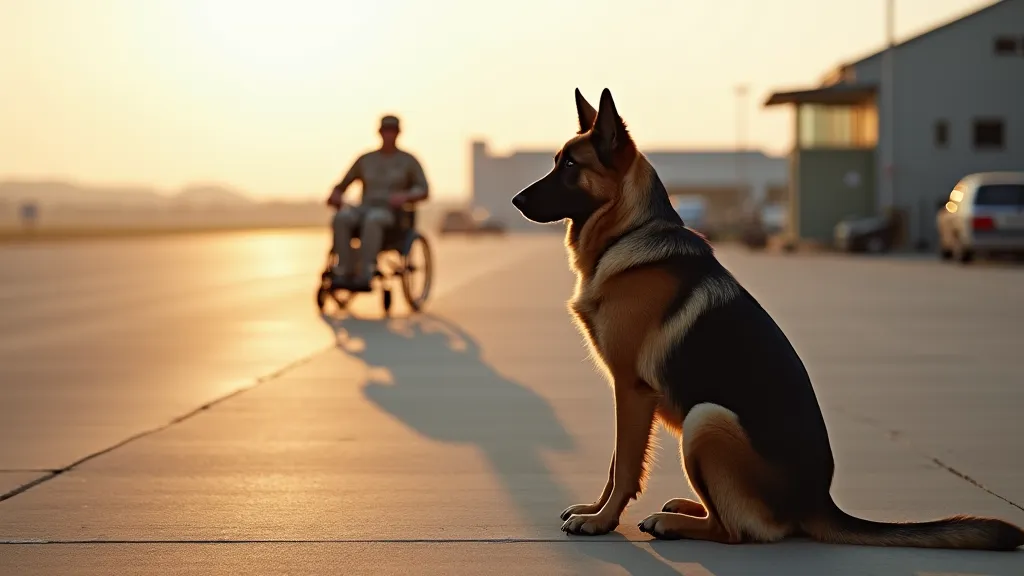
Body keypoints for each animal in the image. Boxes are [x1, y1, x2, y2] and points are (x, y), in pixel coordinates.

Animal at [509, 87, 1024, 549]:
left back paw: (676, 523)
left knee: (737, 530)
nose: (514, 202)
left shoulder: (631, 390)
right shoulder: (629, 391)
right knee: (730, 513)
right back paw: (685, 507)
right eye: (557, 161)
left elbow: (626, 465)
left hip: (706, 418)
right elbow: (617, 462)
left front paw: (601, 521)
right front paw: (595, 510)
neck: (629, 232)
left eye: (570, 167)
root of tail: (817, 505)